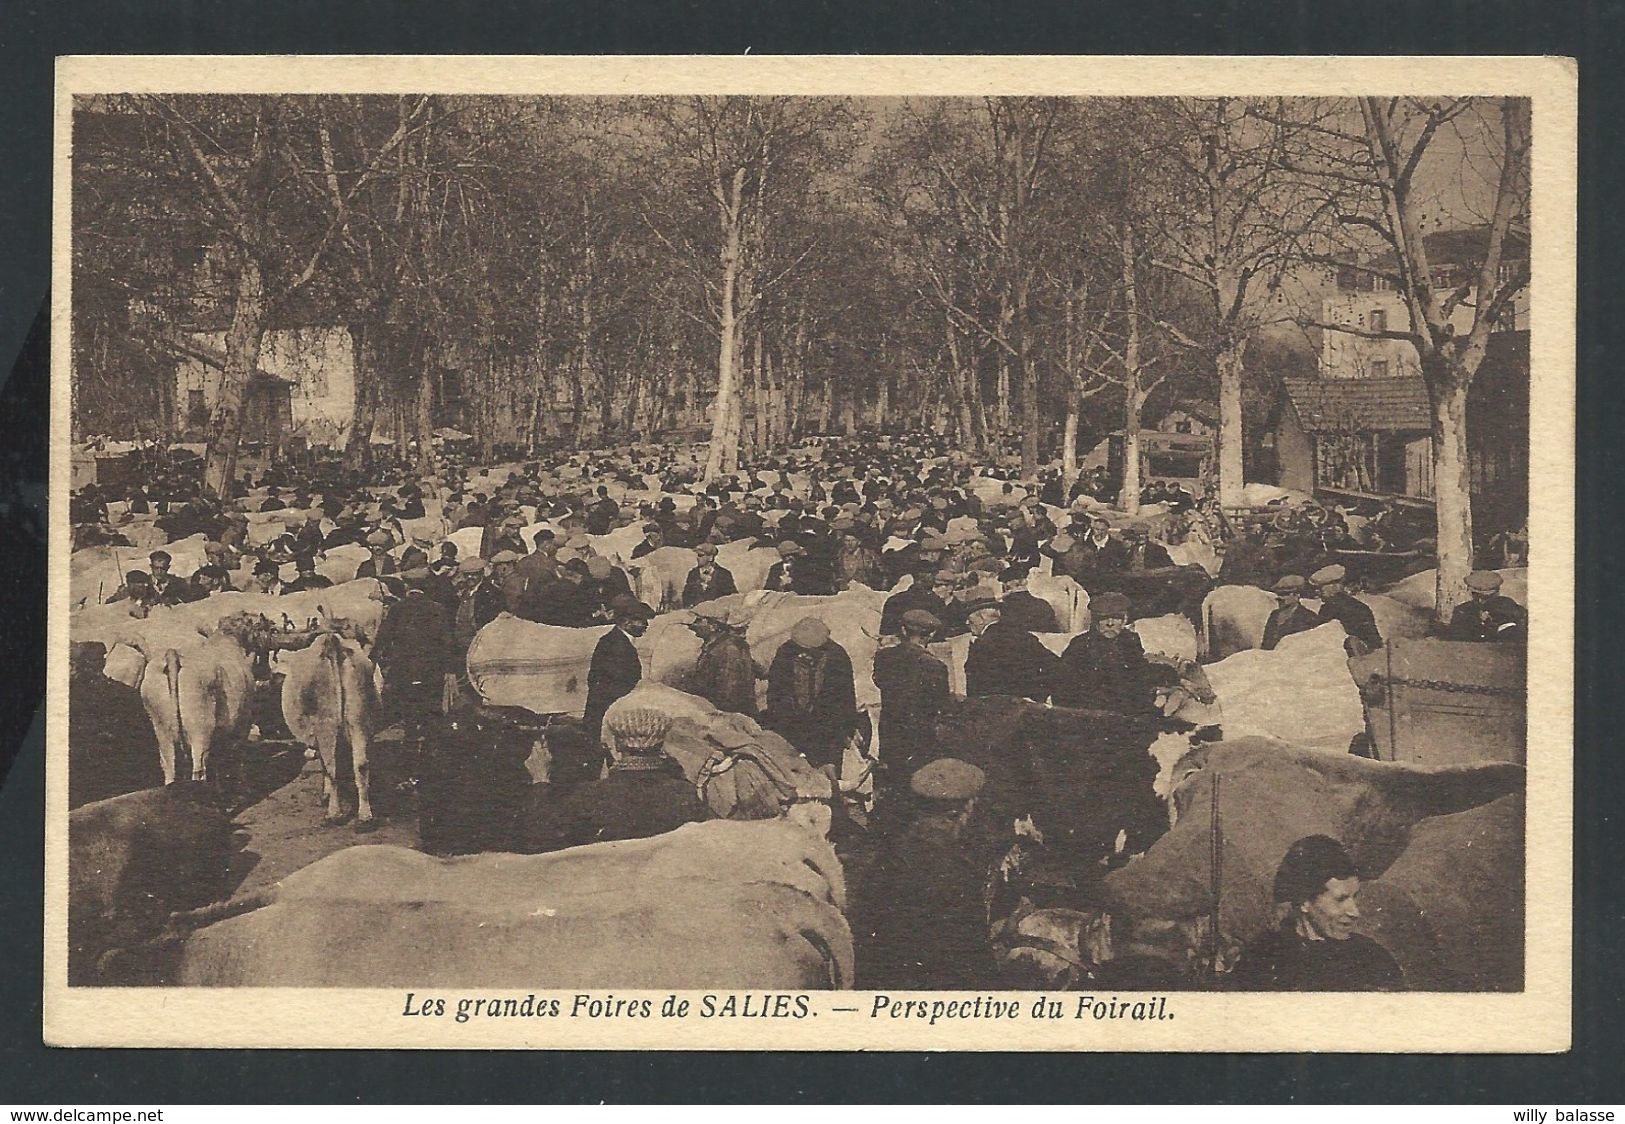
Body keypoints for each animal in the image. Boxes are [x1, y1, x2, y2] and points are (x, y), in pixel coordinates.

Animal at [138, 610, 271, 786]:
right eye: (263, 627)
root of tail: (173, 655)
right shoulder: (244, 720)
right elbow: (238, 756)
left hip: (161, 727)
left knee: (169, 767)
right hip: (200, 727)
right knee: (199, 767)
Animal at [281, 633, 381, 825]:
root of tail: (332, 641)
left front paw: (326, 794)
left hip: (325, 722)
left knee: (331, 767)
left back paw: (333, 814)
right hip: (358, 716)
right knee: (361, 764)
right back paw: (365, 816)